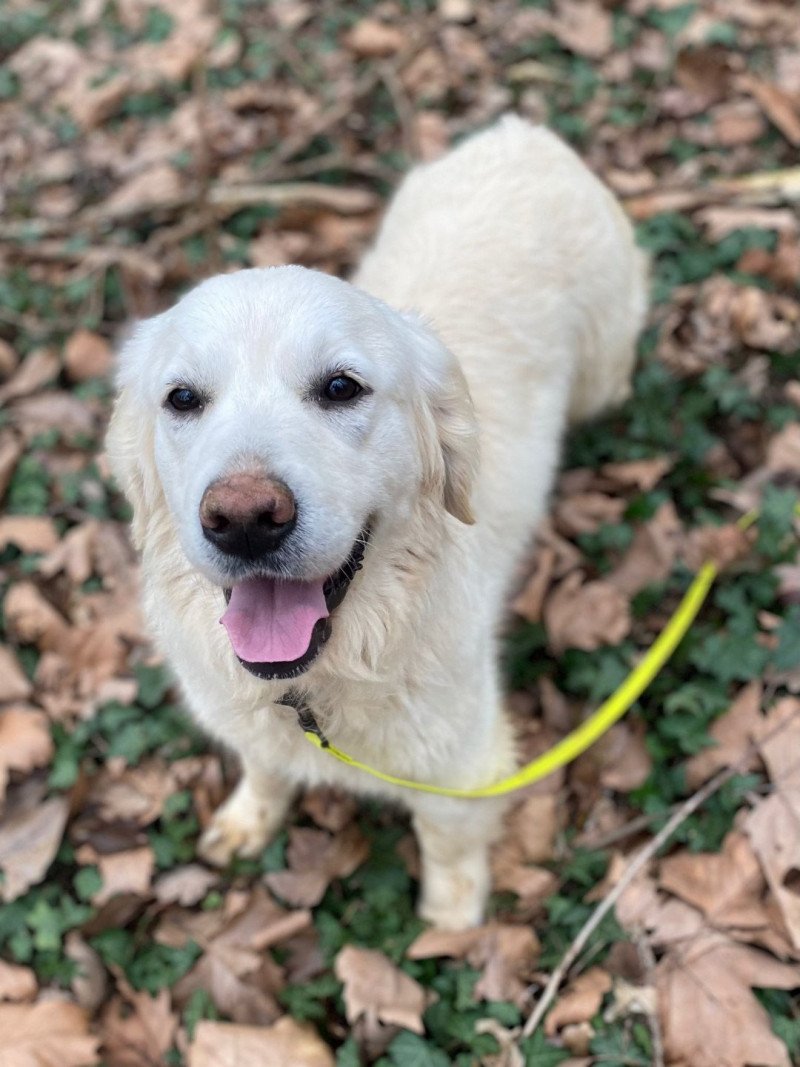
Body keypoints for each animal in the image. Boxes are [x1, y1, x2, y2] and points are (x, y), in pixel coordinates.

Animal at [108, 116, 644, 930]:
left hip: (606, 365)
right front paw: (249, 819)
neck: (321, 681)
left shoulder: (464, 760)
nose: (244, 518)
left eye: (340, 387)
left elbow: (448, 842)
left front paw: (452, 923)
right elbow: (264, 768)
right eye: (182, 398)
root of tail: (520, 130)